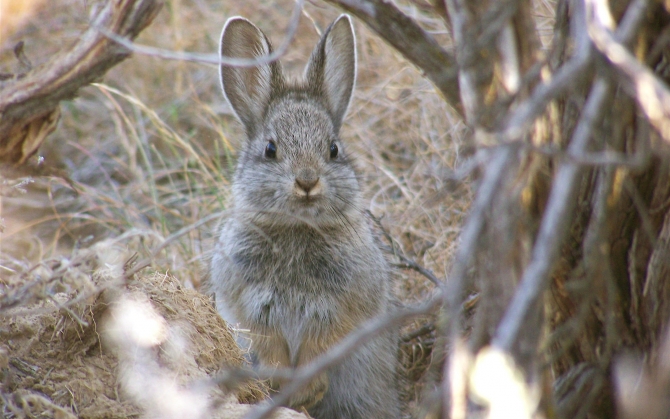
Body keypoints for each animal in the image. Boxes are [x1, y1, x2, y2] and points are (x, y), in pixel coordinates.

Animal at [207, 13, 402, 419]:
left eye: (333, 149)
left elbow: (325, 343)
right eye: (270, 149)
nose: (308, 181)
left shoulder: (345, 306)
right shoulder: (248, 306)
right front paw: (282, 387)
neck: (297, 226)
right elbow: (267, 345)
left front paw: (307, 390)